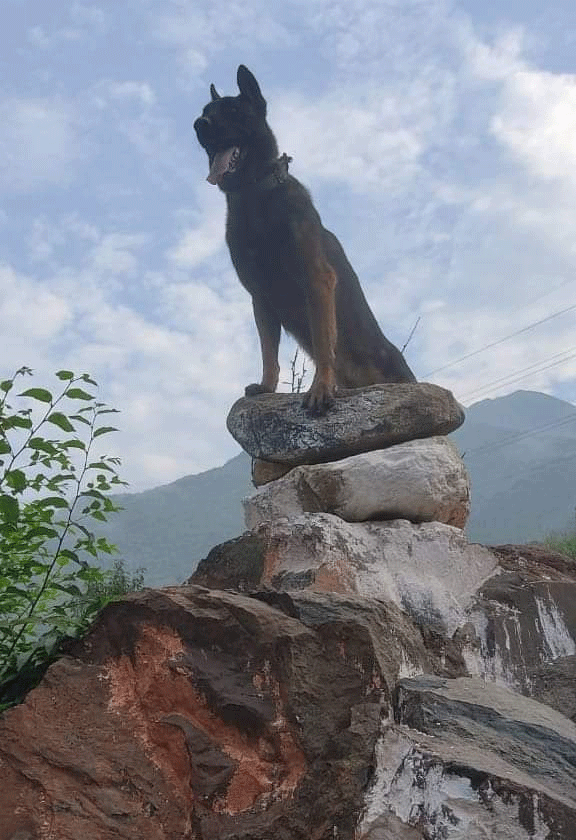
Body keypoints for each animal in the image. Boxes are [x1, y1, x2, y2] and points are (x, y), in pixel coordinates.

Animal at [196, 65, 416, 414]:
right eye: (206, 111)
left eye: (232, 111)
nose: (198, 125)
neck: (255, 196)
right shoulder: (261, 298)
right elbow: (268, 352)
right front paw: (267, 386)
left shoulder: (317, 279)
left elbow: (324, 344)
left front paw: (322, 387)